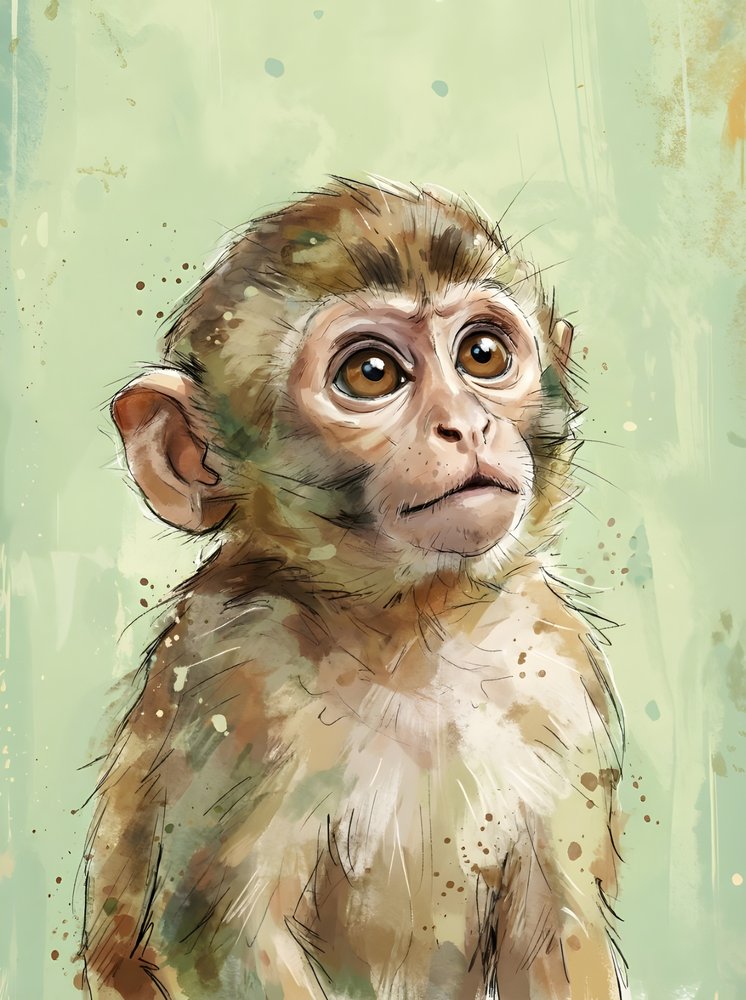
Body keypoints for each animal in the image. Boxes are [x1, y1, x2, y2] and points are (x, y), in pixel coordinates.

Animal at [78, 176, 628, 1000]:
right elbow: (216, 939)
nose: (465, 426)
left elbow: (558, 936)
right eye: (372, 374)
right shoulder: (232, 676)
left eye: (484, 354)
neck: (412, 630)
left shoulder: (557, 666)